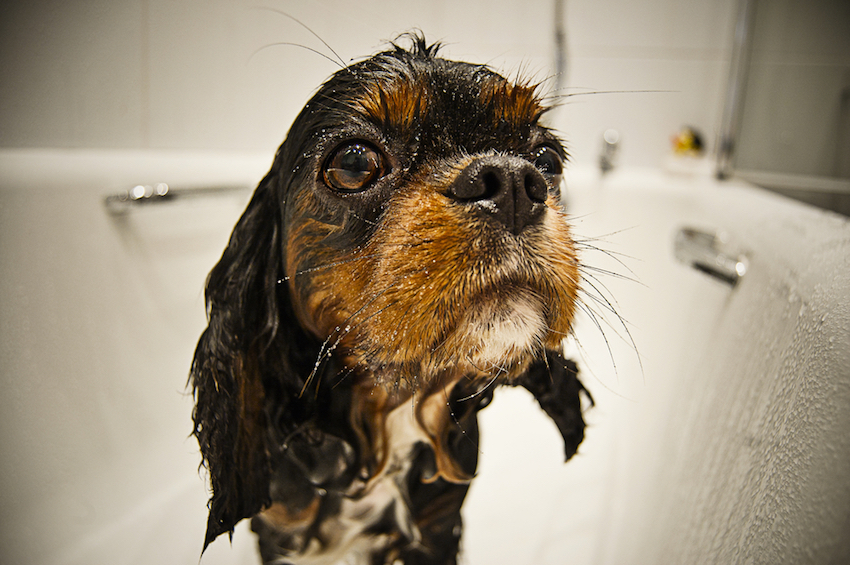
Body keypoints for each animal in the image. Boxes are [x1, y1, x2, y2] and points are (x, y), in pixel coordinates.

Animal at [190, 35, 588, 564]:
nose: (512, 184)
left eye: (547, 159)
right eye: (354, 163)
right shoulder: (281, 534)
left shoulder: (439, 525)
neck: (392, 412)